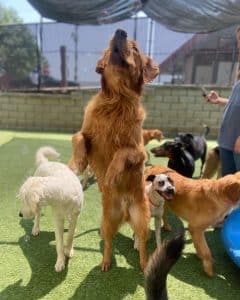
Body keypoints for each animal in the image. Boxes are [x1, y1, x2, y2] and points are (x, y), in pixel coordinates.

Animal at [68, 29, 159, 272]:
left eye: (135, 48)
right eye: (109, 46)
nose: (120, 31)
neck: (116, 98)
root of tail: (125, 213)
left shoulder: (138, 151)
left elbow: (121, 152)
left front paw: (110, 173)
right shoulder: (87, 133)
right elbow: (78, 137)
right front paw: (79, 161)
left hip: (142, 221)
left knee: (143, 246)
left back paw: (144, 265)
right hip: (107, 222)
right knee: (108, 243)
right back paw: (106, 262)